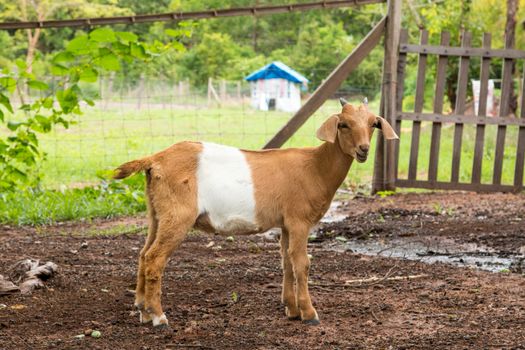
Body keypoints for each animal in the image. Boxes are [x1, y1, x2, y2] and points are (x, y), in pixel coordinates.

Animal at [113, 99, 398, 328]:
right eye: (343, 125)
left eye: (373, 124)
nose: (363, 149)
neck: (315, 167)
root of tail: (155, 159)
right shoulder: (299, 220)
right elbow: (302, 263)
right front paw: (309, 314)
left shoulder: (285, 223)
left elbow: (286, 261)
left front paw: (291, 310)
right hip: (178, 215)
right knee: (155, 259)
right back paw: (159, 317)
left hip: (157, 213)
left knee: (143, 254)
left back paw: (142, 311)